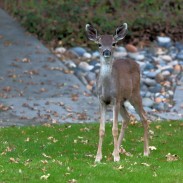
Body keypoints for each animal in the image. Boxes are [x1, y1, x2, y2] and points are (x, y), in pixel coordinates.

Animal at [85, 22, 149, 162]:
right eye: (99, 44)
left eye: (114, 43)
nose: (106, 51)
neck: (107, 87)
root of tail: (136, 63)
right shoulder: (102, 100)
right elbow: (101, 129)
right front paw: (98, 157)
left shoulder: (115, 99)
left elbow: (114, 128)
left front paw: (116, 158)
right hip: (122, 101)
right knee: (127, 118)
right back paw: (116, 150)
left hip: (135, 93)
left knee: (144, 117)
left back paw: (146, 151)